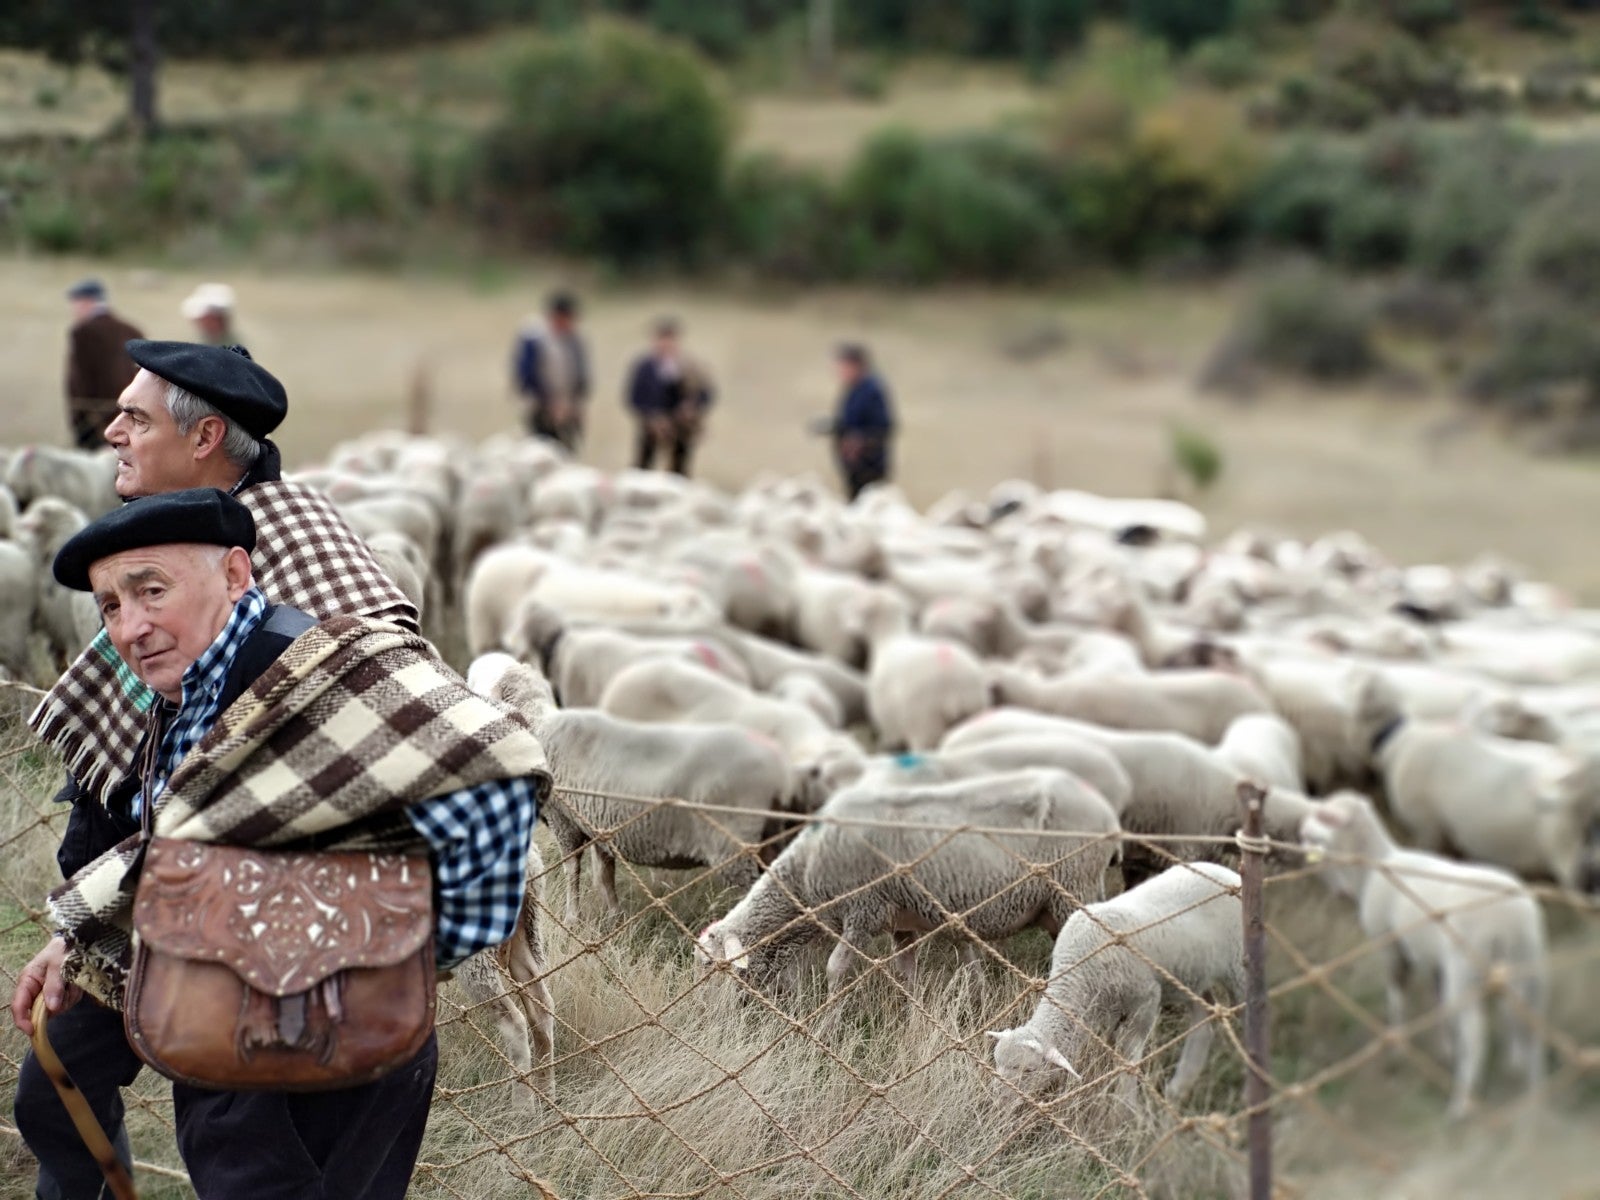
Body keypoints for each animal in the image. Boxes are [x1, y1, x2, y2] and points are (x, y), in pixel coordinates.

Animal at [470, 659, 800, 921]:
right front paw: (614, 916)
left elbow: (572, 871)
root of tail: (778, 767)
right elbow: (604, 876)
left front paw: (572, 918)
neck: (539, 723)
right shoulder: (598, 826)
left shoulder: (564, 820)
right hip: (770, 834)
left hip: (736, 844)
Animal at [694, 771, 1120, 998]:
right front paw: (914, 1028)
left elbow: (835, 972)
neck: (802, 878)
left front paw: (824, 1033)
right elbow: (908, 978)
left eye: (714, 970)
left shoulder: (862, 912)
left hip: (1072, 886)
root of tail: (1107, 814)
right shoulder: (901, 922)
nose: (710, 1019)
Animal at [985, 864, 1235, 1107]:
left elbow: (1128, 1052)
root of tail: (1225, 871)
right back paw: (1179, 1088)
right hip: (1193, 974)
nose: (996, 1104)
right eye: (997, 1062)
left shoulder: (1145, 1001)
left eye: (1029, 1070)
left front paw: (1125, 1105)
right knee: (1204, 1019)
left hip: (1236, 967)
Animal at [1299, 793, 1548, 1126]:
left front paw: (1398, 1049)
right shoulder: (1433, 960)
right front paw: (1445, 1047)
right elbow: (1437, 1000)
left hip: (1465, 968)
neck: (1373, 867)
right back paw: (1532, 1091)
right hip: (1526, 961)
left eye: (1322, 821)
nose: (1300, 838)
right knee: (1529, 1021)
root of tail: (1508, 917)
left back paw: (1460, 1105)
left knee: (1476, 1036)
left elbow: (1396, 995)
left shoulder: (1390, 945)